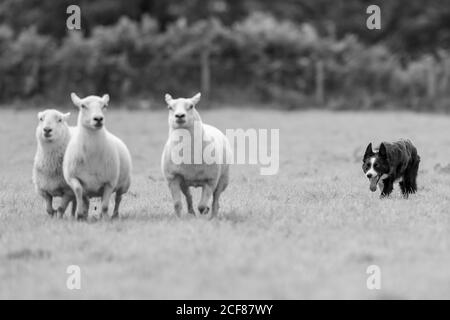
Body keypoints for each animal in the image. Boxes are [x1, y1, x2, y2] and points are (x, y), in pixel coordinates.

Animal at [64, 92, 133, 220]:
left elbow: (105, 205)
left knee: (118, 198)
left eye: (104, 105)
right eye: (82, 106)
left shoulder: (110, 182)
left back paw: (114, 215)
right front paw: (79, 215)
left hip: (124, 185)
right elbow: (78, 191)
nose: (99, 119)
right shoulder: (72, 178)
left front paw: (105, 218)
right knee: (88, 201)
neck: (92, 156)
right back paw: (86, 215)